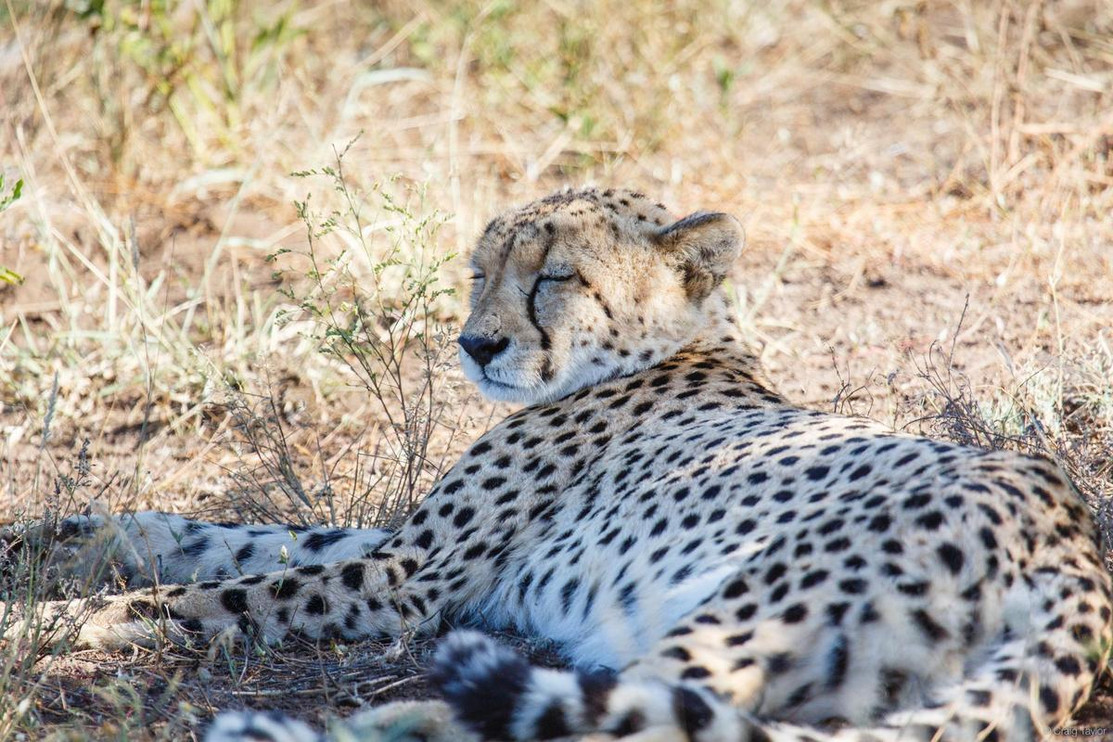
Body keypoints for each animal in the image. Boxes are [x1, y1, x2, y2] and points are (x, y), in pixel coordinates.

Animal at [6, 188, 1111, 742]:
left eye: (556, 277)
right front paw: (52, 538)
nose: (474, 344)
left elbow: (211, 594)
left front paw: (42, 623)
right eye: (478, 270)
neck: (664, 350)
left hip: (745, 606)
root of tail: (1065, 523)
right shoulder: (405, 547)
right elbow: (219, 537)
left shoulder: (411, 581)